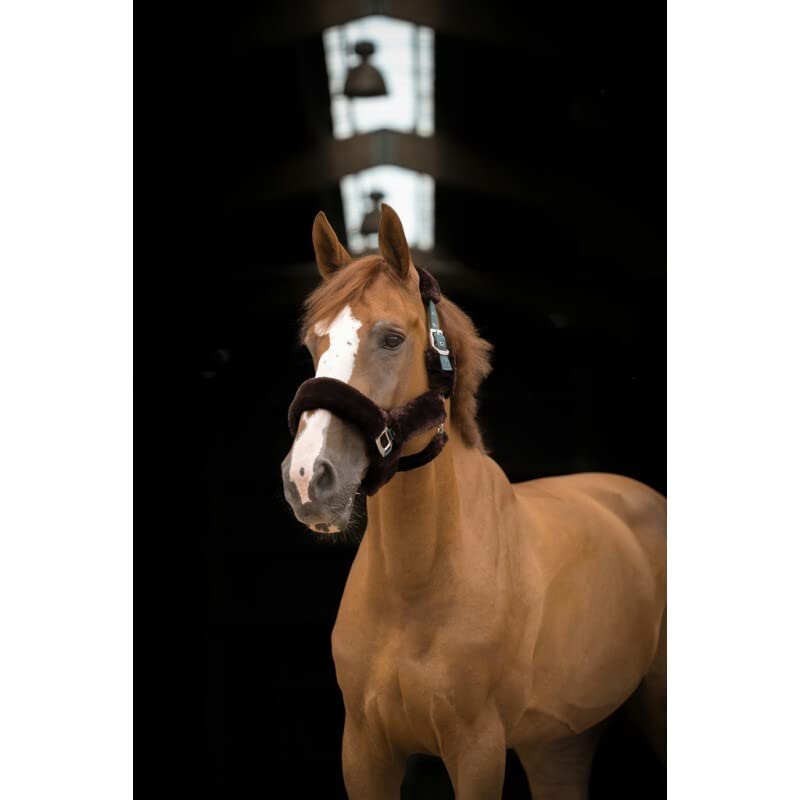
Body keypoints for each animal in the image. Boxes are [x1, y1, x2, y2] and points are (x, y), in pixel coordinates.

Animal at [281, 204, 666, 799]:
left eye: (392, 338)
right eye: (312, 344)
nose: (307, 477)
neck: (417, 584)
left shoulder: (477, 749)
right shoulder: (364, 750)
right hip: (560, 743)